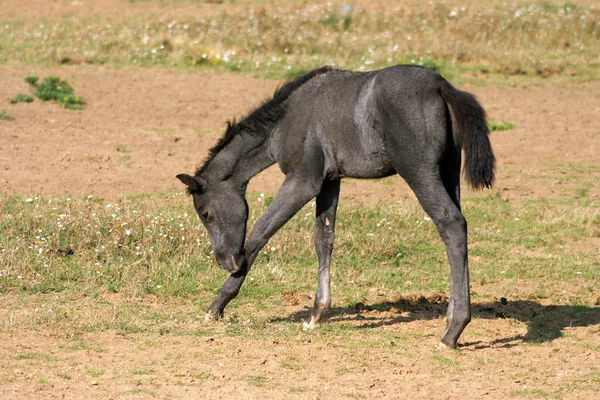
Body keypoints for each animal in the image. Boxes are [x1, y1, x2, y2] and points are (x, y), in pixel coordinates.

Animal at [176, 64, 494, 348]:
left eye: (205, 213)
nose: (226, 261)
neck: (287, 119)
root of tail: (440, 85)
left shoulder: (302, 181)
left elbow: (260, 233)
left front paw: (217, 305)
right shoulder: (329, 182)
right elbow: (324, 240)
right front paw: (316, 314)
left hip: (419, 172)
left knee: (451, 224)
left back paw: (452, 332)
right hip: (448, 172)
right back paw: (451, 317)